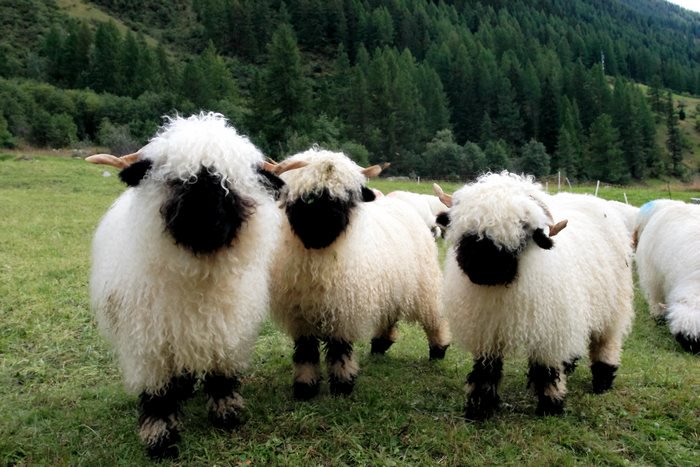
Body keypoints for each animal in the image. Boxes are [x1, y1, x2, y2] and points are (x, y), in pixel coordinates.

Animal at [86, 112, 283, 459]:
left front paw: (227, 415)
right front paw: (160, 439)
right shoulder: (149, 344)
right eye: (177, 180)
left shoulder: (225, 331)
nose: (205, 222)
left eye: (229, 183)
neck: (196, 275)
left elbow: (222, 376)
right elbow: (157, 394)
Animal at [268, 148, 450, 400]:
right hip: (389, 285)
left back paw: (438, 349)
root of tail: (400, 202)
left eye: (346, 198)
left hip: (424, 283)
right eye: (308, 197)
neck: (319, 257)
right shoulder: (300, 313)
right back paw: (379, 345)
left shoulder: (344, 310)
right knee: (390, 314)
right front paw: (305, 387)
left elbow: (340, 349)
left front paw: (342, 385)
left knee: (434, 317)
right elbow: (306, 351)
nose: (324, 227)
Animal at [434, 172, 634, 419]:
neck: (502, 289)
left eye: (523, 229)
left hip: (613, 305)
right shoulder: (487, 329)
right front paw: (479, 408)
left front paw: (551, 405)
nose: (483, 269)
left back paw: (603, 381)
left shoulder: (548, 329)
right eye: (468, 229)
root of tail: (588, 197)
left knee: (607, 342)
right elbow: (485, 370)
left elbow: (546, 370)